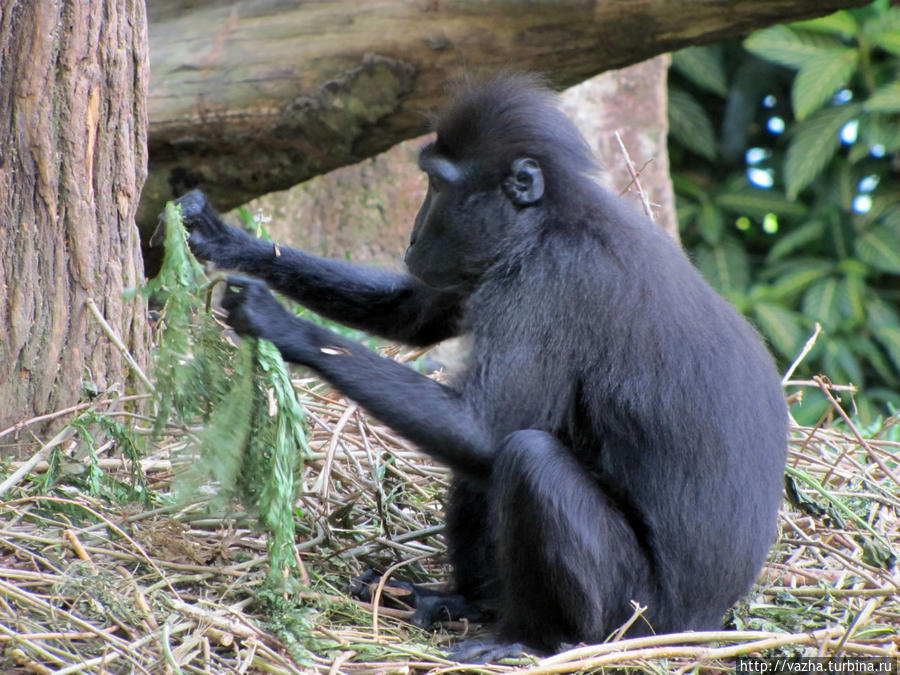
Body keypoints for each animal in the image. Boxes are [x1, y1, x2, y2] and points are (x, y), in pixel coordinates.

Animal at [171, 76, 788, 664]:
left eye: (438, 186)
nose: (412, 238)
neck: (551, 219)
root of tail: (706, 622)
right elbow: (413, 314)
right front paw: (219, 235)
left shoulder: (550, 278)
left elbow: (483, 431)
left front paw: (279, 324)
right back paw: (463, 600)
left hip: (636, 611)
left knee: (525, 456)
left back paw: (535, 640)